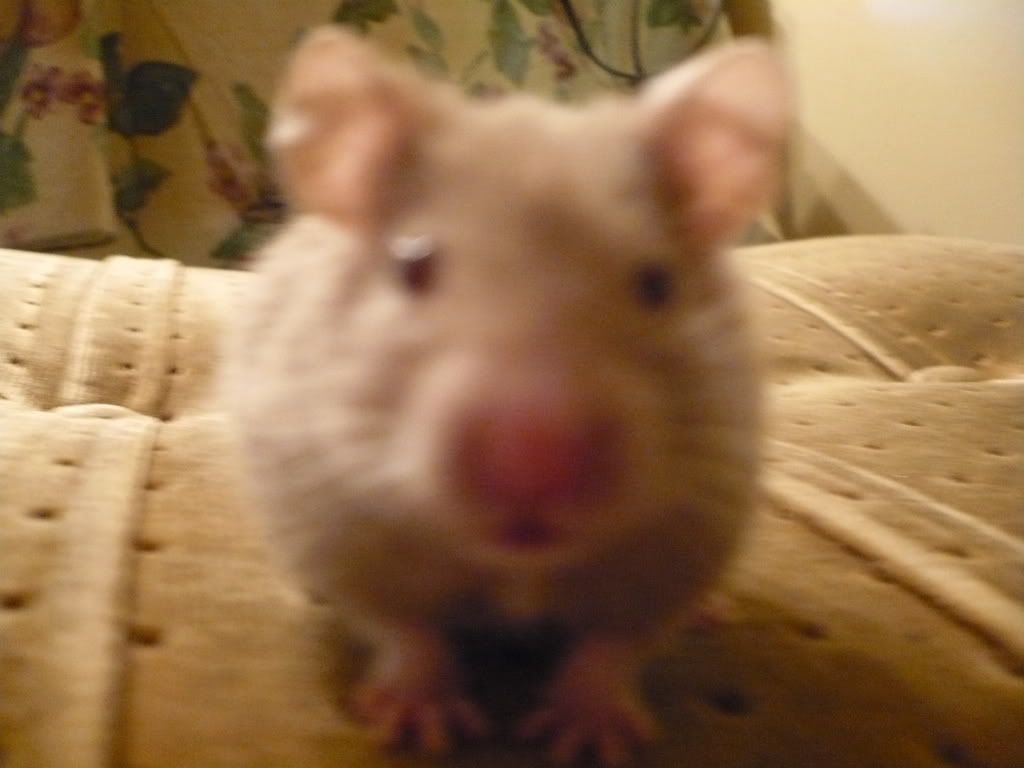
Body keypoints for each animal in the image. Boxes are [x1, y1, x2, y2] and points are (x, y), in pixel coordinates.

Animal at [224, 27, 790, 766]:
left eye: (656, 284)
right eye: (413, 264)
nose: (535, 469)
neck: (517, 567)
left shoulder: (682, 543)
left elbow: (613, 646)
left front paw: (588, 739)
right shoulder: (338, 527)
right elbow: (405, 630)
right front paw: (420, 724)